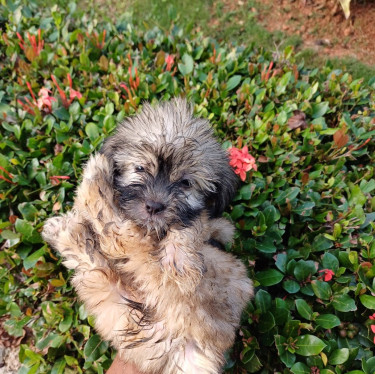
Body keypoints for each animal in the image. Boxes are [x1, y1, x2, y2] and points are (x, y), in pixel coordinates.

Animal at [42, 98, 254, 372]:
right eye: (140, 168)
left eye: (185, 183)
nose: (153, 206)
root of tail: (186, 347)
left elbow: (189, 225)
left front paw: (179, 260)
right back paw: (66, 223)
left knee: (111, 232)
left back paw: (91, 182)